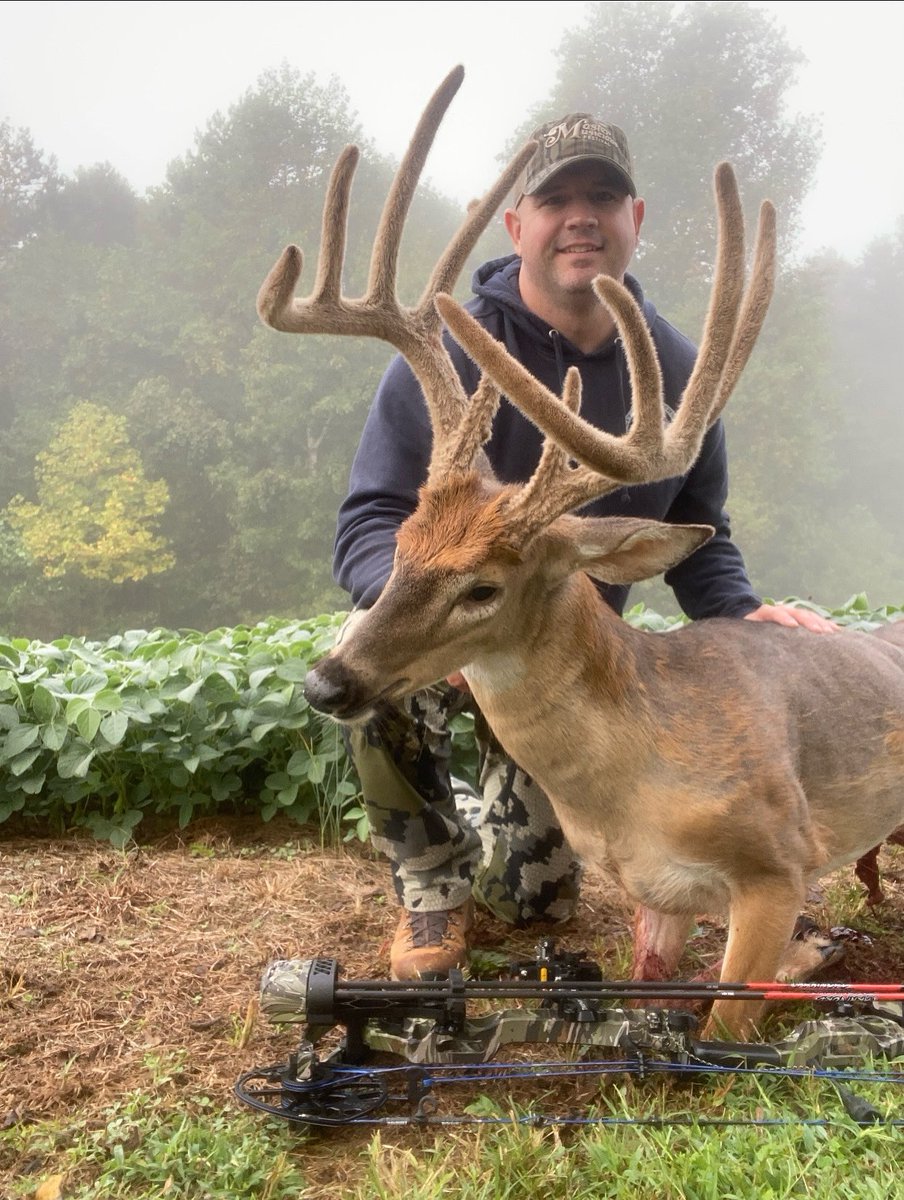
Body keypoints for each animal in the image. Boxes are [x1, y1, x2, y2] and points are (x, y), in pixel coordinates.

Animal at [257, 67, 904, 1039]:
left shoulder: (777, 861)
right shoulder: (655, 893)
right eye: (404, 543)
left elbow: (718, 1033)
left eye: (484, 587)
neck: (637, 777)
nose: (326, 682)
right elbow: (651, 987)